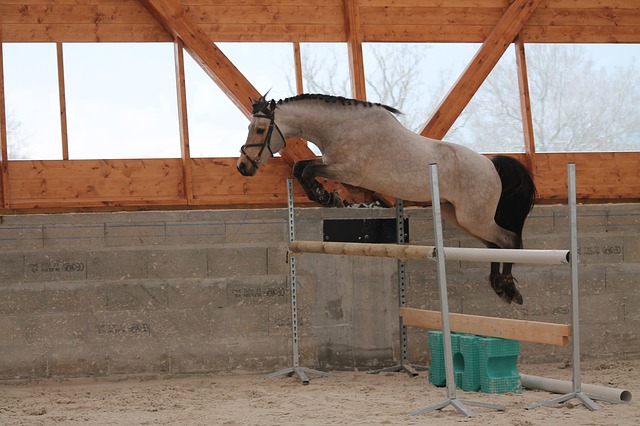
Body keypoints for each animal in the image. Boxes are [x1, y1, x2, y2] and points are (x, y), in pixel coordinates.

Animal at [237, 93, 536, 305]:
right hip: (458, 215)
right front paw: (327, 196)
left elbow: (306, 168)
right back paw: (499, 285)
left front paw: (327, 196)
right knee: (495, 244)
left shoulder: (347, 171)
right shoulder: (334, 166)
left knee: (508, 240)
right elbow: (301, 167)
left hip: (473, 217)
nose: (243, 167)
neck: (342, 126)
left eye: (260, 130)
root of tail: (491, 164)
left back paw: (506, 286)